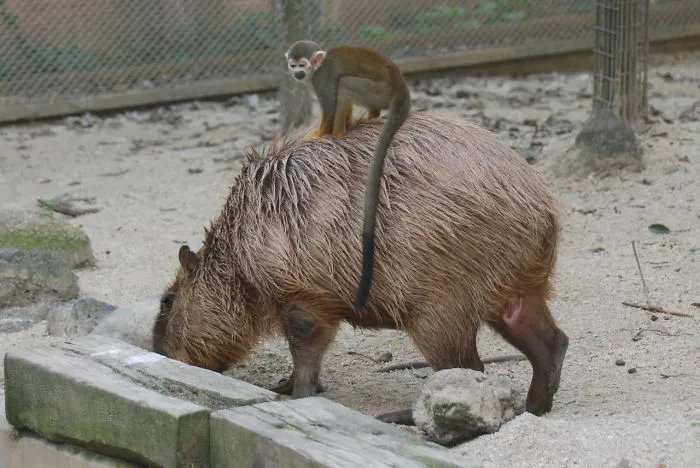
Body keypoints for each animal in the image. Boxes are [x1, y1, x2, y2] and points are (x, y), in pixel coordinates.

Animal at [285, 40, 412, 311]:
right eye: (293, 65)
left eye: (303, 65)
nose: (297, 74)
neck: (317, 66)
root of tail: (401, 85)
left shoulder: (321, 78)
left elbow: (331, 105)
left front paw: (321, 133)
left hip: (377, 90)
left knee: (344, 85)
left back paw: (339, 133)